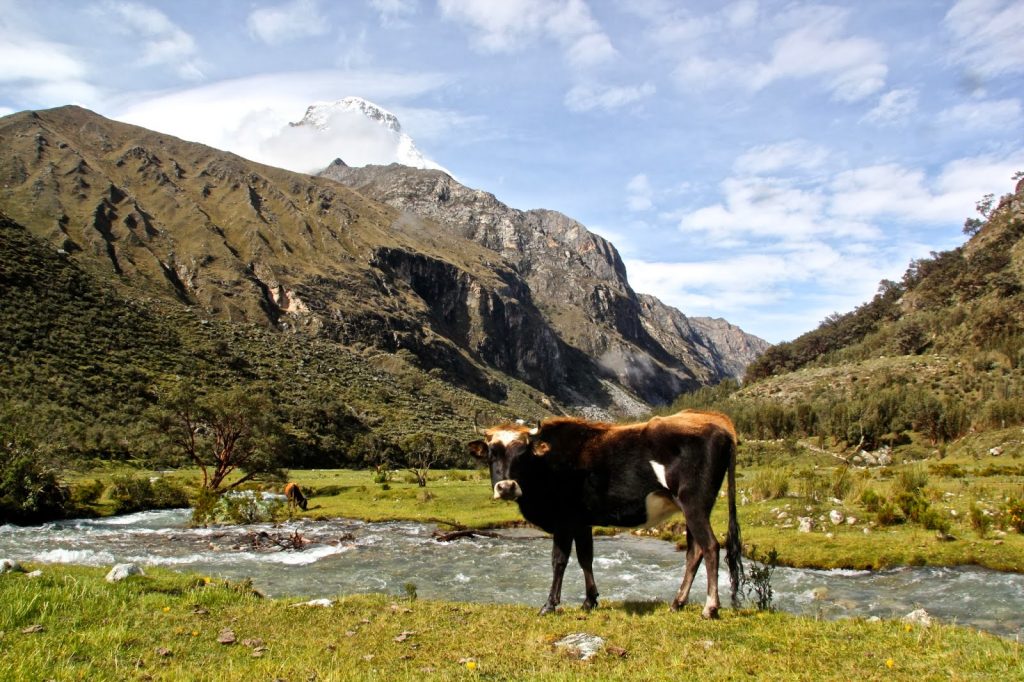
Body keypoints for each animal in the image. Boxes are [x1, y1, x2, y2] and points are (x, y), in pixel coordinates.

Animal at [468, 409, 741, 614]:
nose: (506, 487)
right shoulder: (582, 522)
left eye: (522, 454)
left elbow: (559, 560)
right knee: (694, 552)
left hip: (694, 504)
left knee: (710, 546)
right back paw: (678, 603)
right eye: (492, 454)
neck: (547, 465)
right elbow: (585, 558)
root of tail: (719, 423)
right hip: (692, 509)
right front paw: (590, 601)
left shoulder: (564, 521)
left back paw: (710, 607)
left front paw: (549, 605)